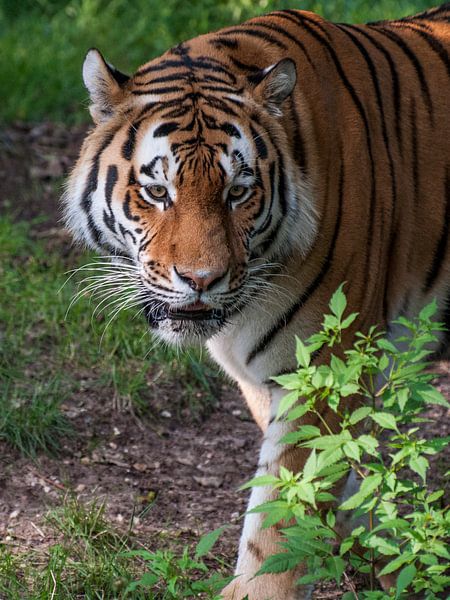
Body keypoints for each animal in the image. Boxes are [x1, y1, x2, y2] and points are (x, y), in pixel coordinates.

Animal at [62, 3, 450, 596]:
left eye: (238, 192)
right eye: (157, 192)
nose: (201, 279)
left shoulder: (327, 364)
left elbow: (287, 507)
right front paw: (379, 547)